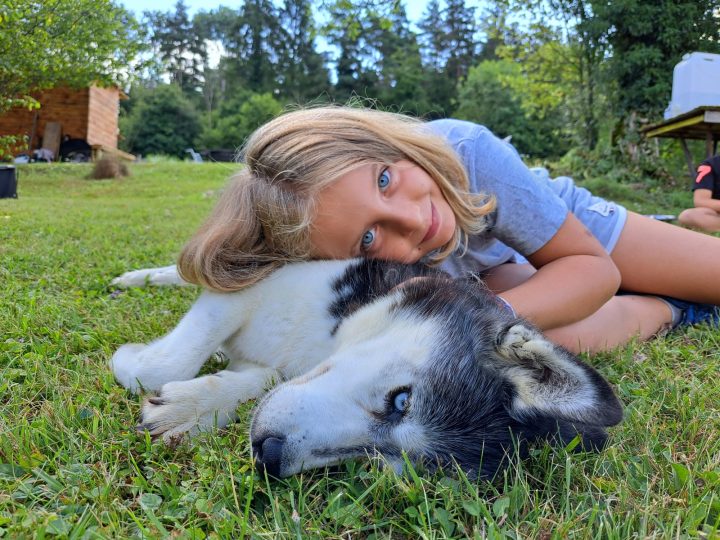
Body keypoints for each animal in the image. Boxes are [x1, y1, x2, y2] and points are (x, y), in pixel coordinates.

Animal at [111, 258, 622, 479]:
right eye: (402, 400)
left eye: (376, 463)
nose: (269, 455)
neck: (320, 338)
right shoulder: (245, 290)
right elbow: (167, 361)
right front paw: (131, 360)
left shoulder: (269, 365)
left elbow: (258, 380)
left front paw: (189, 408)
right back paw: (134, 278)